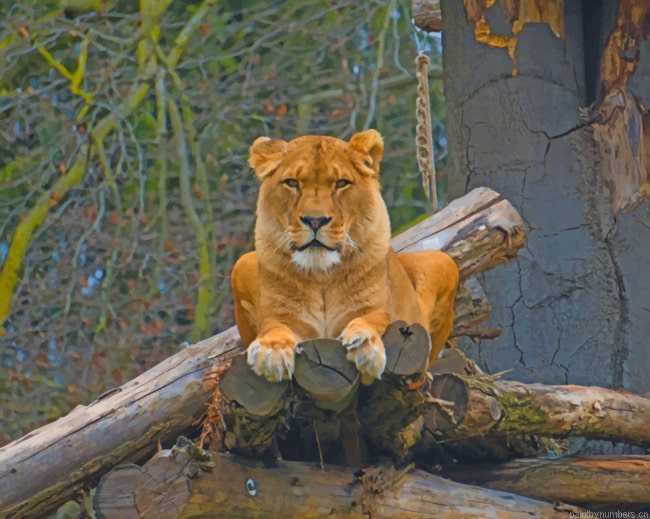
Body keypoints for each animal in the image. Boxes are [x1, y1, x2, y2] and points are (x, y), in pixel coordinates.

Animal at [231, 130, 459, 383]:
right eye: (292, 182)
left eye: (340, 184)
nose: (315, 220)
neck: (321, 273)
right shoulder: (282, 316)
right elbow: (273, 327)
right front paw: (272, 350)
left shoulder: (379, 310)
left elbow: (374, 319)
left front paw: (365, 344)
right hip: (241, 264)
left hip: (444, 262)